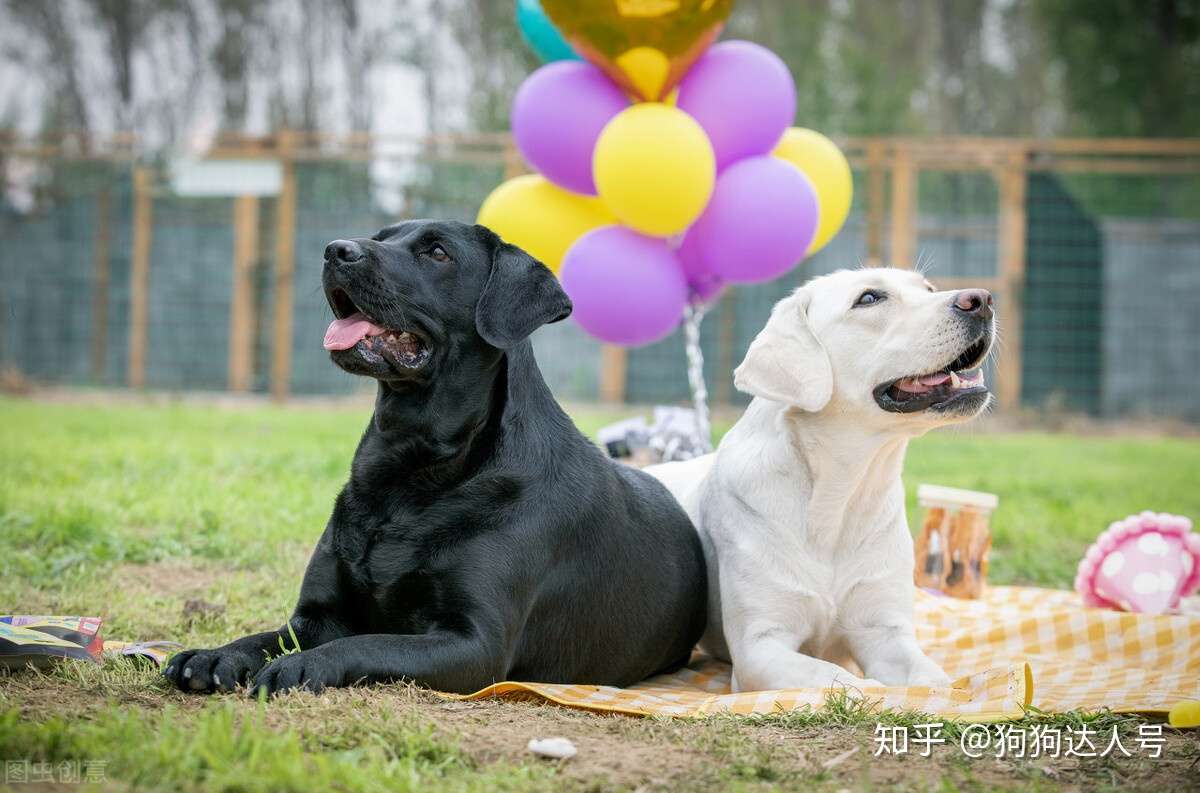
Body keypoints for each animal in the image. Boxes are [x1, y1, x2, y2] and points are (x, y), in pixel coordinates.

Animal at [164, 218, 705, 691]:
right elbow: (264, 637)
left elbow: (368, 643)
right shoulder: (317, 616)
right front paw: (214, 655)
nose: (336, 250)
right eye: (383, 236)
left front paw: (301, 667)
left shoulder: (475, 641)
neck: (409, 466)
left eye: (438, 252)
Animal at [652, 268, 998, 691]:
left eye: (928, 289)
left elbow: (932, 681)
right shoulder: (759, 648)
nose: (981, 300)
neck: (841, 491)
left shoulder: (886, 632)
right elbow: (837, 679)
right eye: (869, 298)